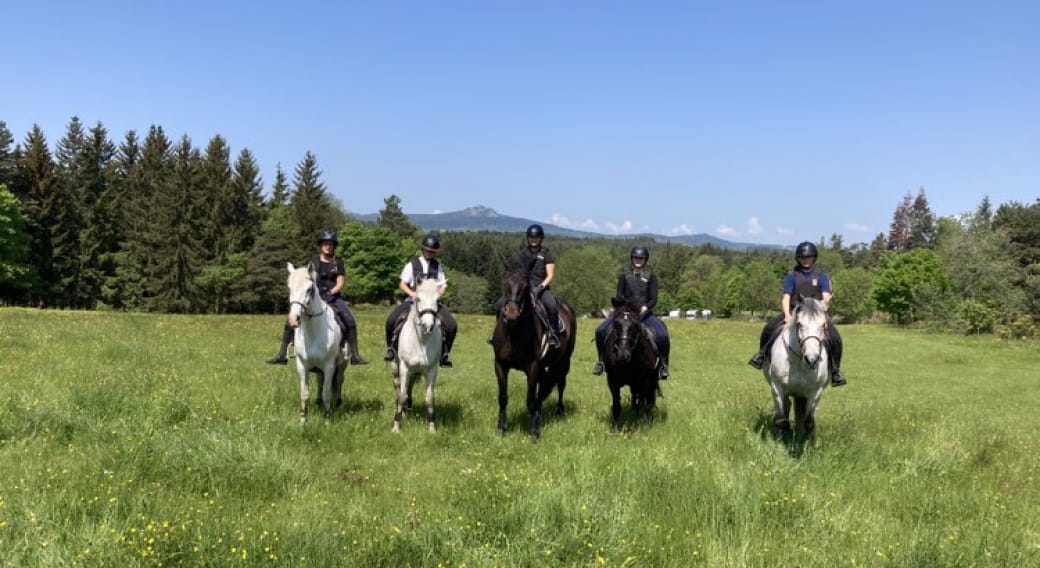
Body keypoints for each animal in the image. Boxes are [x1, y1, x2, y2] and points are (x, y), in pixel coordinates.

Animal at [287, 261, 347, 420]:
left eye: (309, 289)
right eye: (289, 288)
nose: (293, 320)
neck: (314, 332)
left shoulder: (329, 366)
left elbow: (327, 393)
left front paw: (327, 418)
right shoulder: (302, 365)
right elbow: (304, 393)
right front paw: (303, 419)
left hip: (342, 364)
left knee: (339, 380)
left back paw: (338, 402)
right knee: (320, 380)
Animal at [388, 278, 440, 432]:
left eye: (438, 300)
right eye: (418, 299)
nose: (428, 326)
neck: (422, 341)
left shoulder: (431, 370)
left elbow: (429, 398)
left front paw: (432, 428)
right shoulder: (405, 367)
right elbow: (402, 395)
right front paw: (396, 426)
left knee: (409, 387)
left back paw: (408, 409)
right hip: (395, 367)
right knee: (399, 388)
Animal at [488, 260, 578, 436]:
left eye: (525, 285)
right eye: (505, 283)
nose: (511, 314)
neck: (514, 333)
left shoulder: (533, 366)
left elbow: (530, 399)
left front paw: (534, 431)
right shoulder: (500, 365)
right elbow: (503, 397)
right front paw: (501, 428)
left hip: (564, 361)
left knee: (560, 383)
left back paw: (558, 411)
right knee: (543, 389)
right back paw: (540, 414)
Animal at [603, 295, 657, 428]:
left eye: (635, 324)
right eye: (616, 324)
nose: (623, 355)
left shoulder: (644, 381)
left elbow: (642, 403)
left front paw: (643, 425)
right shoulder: (612, 381)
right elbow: (616, 405)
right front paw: (615, 428)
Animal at [765, 295, 827, 436]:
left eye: (823, 325)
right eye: (799, 324)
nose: (812, 359)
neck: (799, 362)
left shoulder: (815, 392)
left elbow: (808, 421)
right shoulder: (777, 388)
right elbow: (781, 418)